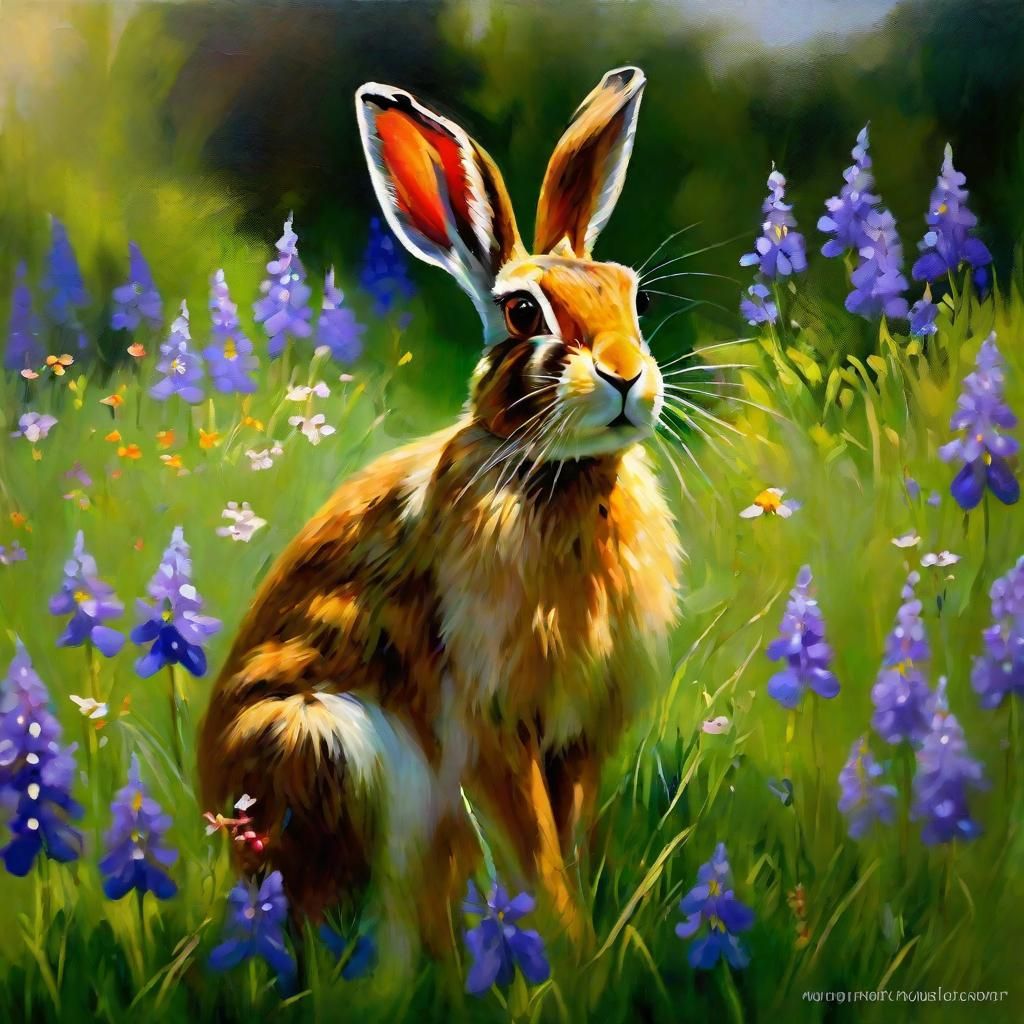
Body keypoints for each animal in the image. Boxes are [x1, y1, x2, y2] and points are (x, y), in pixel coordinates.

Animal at [197, 65, 681, 970]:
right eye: (524, 314)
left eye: (630, 297)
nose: (627, 375)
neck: (552, 473)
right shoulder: (489, 726)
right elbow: (537, 856)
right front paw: (573, 956)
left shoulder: (577, 740)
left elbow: (569, 838)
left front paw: (589, 951)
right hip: (325, 747)